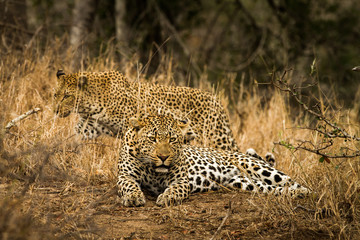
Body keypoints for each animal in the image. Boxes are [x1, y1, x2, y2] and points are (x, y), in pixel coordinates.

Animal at [53, 69, 238, 151]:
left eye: (67, 96)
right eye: (55, 95)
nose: (55, 111)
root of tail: (217, 100)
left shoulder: (130, 125)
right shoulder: (90, 126)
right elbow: (75, 134)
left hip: (216, 137)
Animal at [117, 114, 310, 206]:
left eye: (172, 139)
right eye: (153, 139)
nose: (163, 157)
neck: (153, 169)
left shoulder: (181, 180)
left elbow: (176, 189)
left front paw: (168, 197)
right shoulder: (124, 176)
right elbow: (129, 185)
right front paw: (133, 197)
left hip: (256, 167)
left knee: (292, 182)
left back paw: (305, 193)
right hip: (243, 183)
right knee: (274, 188)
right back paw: (294, 194)